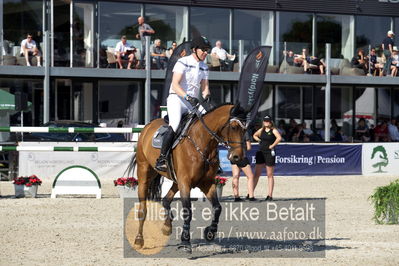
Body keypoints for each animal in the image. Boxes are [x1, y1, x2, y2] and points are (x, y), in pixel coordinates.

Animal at [133, 103, 248, 252]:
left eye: (245, 129)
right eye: (233, 127)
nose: (239, 158)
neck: (202, 142)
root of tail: (148, 126)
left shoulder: (206, 183)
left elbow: (217, 208)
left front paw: (210, 232)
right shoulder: (185, 182)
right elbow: (187, 211)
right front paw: (185, 241)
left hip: (176, 180)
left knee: (166, 200)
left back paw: (167, 227)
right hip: (144, 174)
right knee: (143, 209)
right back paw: (139, 240)